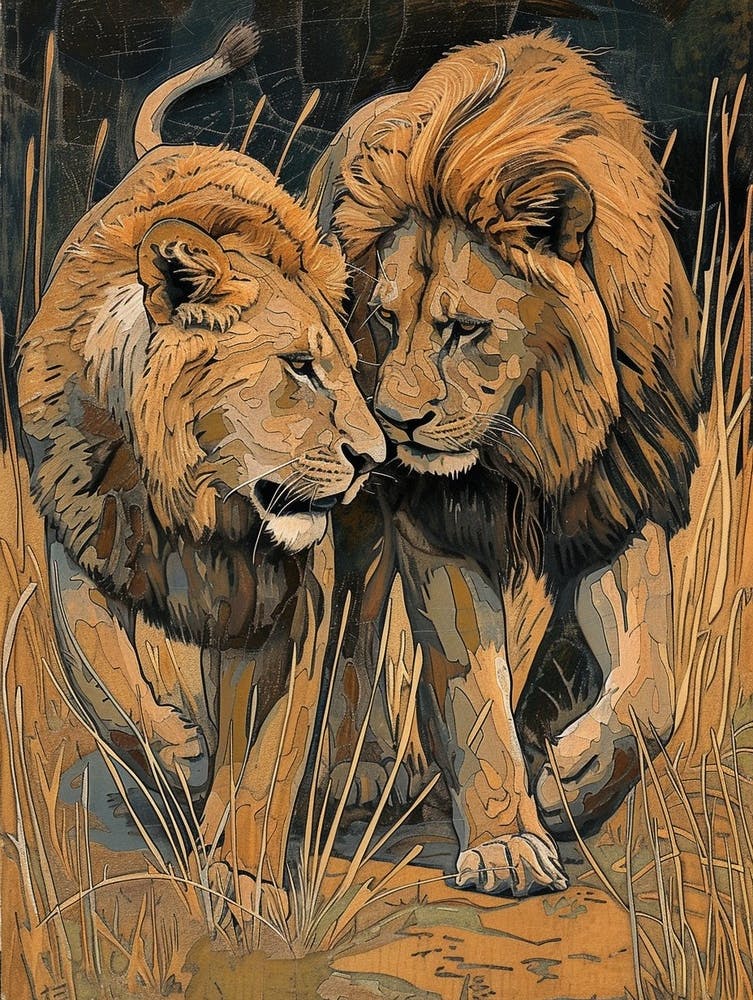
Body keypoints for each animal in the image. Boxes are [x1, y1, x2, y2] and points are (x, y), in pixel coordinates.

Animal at [16, 23, 385, 894]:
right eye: (299, 367)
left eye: (349, 369)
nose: (371, 457)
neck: (195, 502)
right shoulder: (77, 545)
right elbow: (98, 677)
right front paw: (172, 753)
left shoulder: (299, 599)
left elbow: (272, 758)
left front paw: (246, 879)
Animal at [308, 31, 701, 896]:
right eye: (382, 319)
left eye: (462, 329)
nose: (395, 423)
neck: (534, 438)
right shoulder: (436, 528)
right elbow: (471, 693)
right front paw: (505, 845)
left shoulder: (614, 501)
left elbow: (653, 686)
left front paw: (570, 784)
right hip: (355, 508)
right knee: (353, 621)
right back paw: (356, 768)